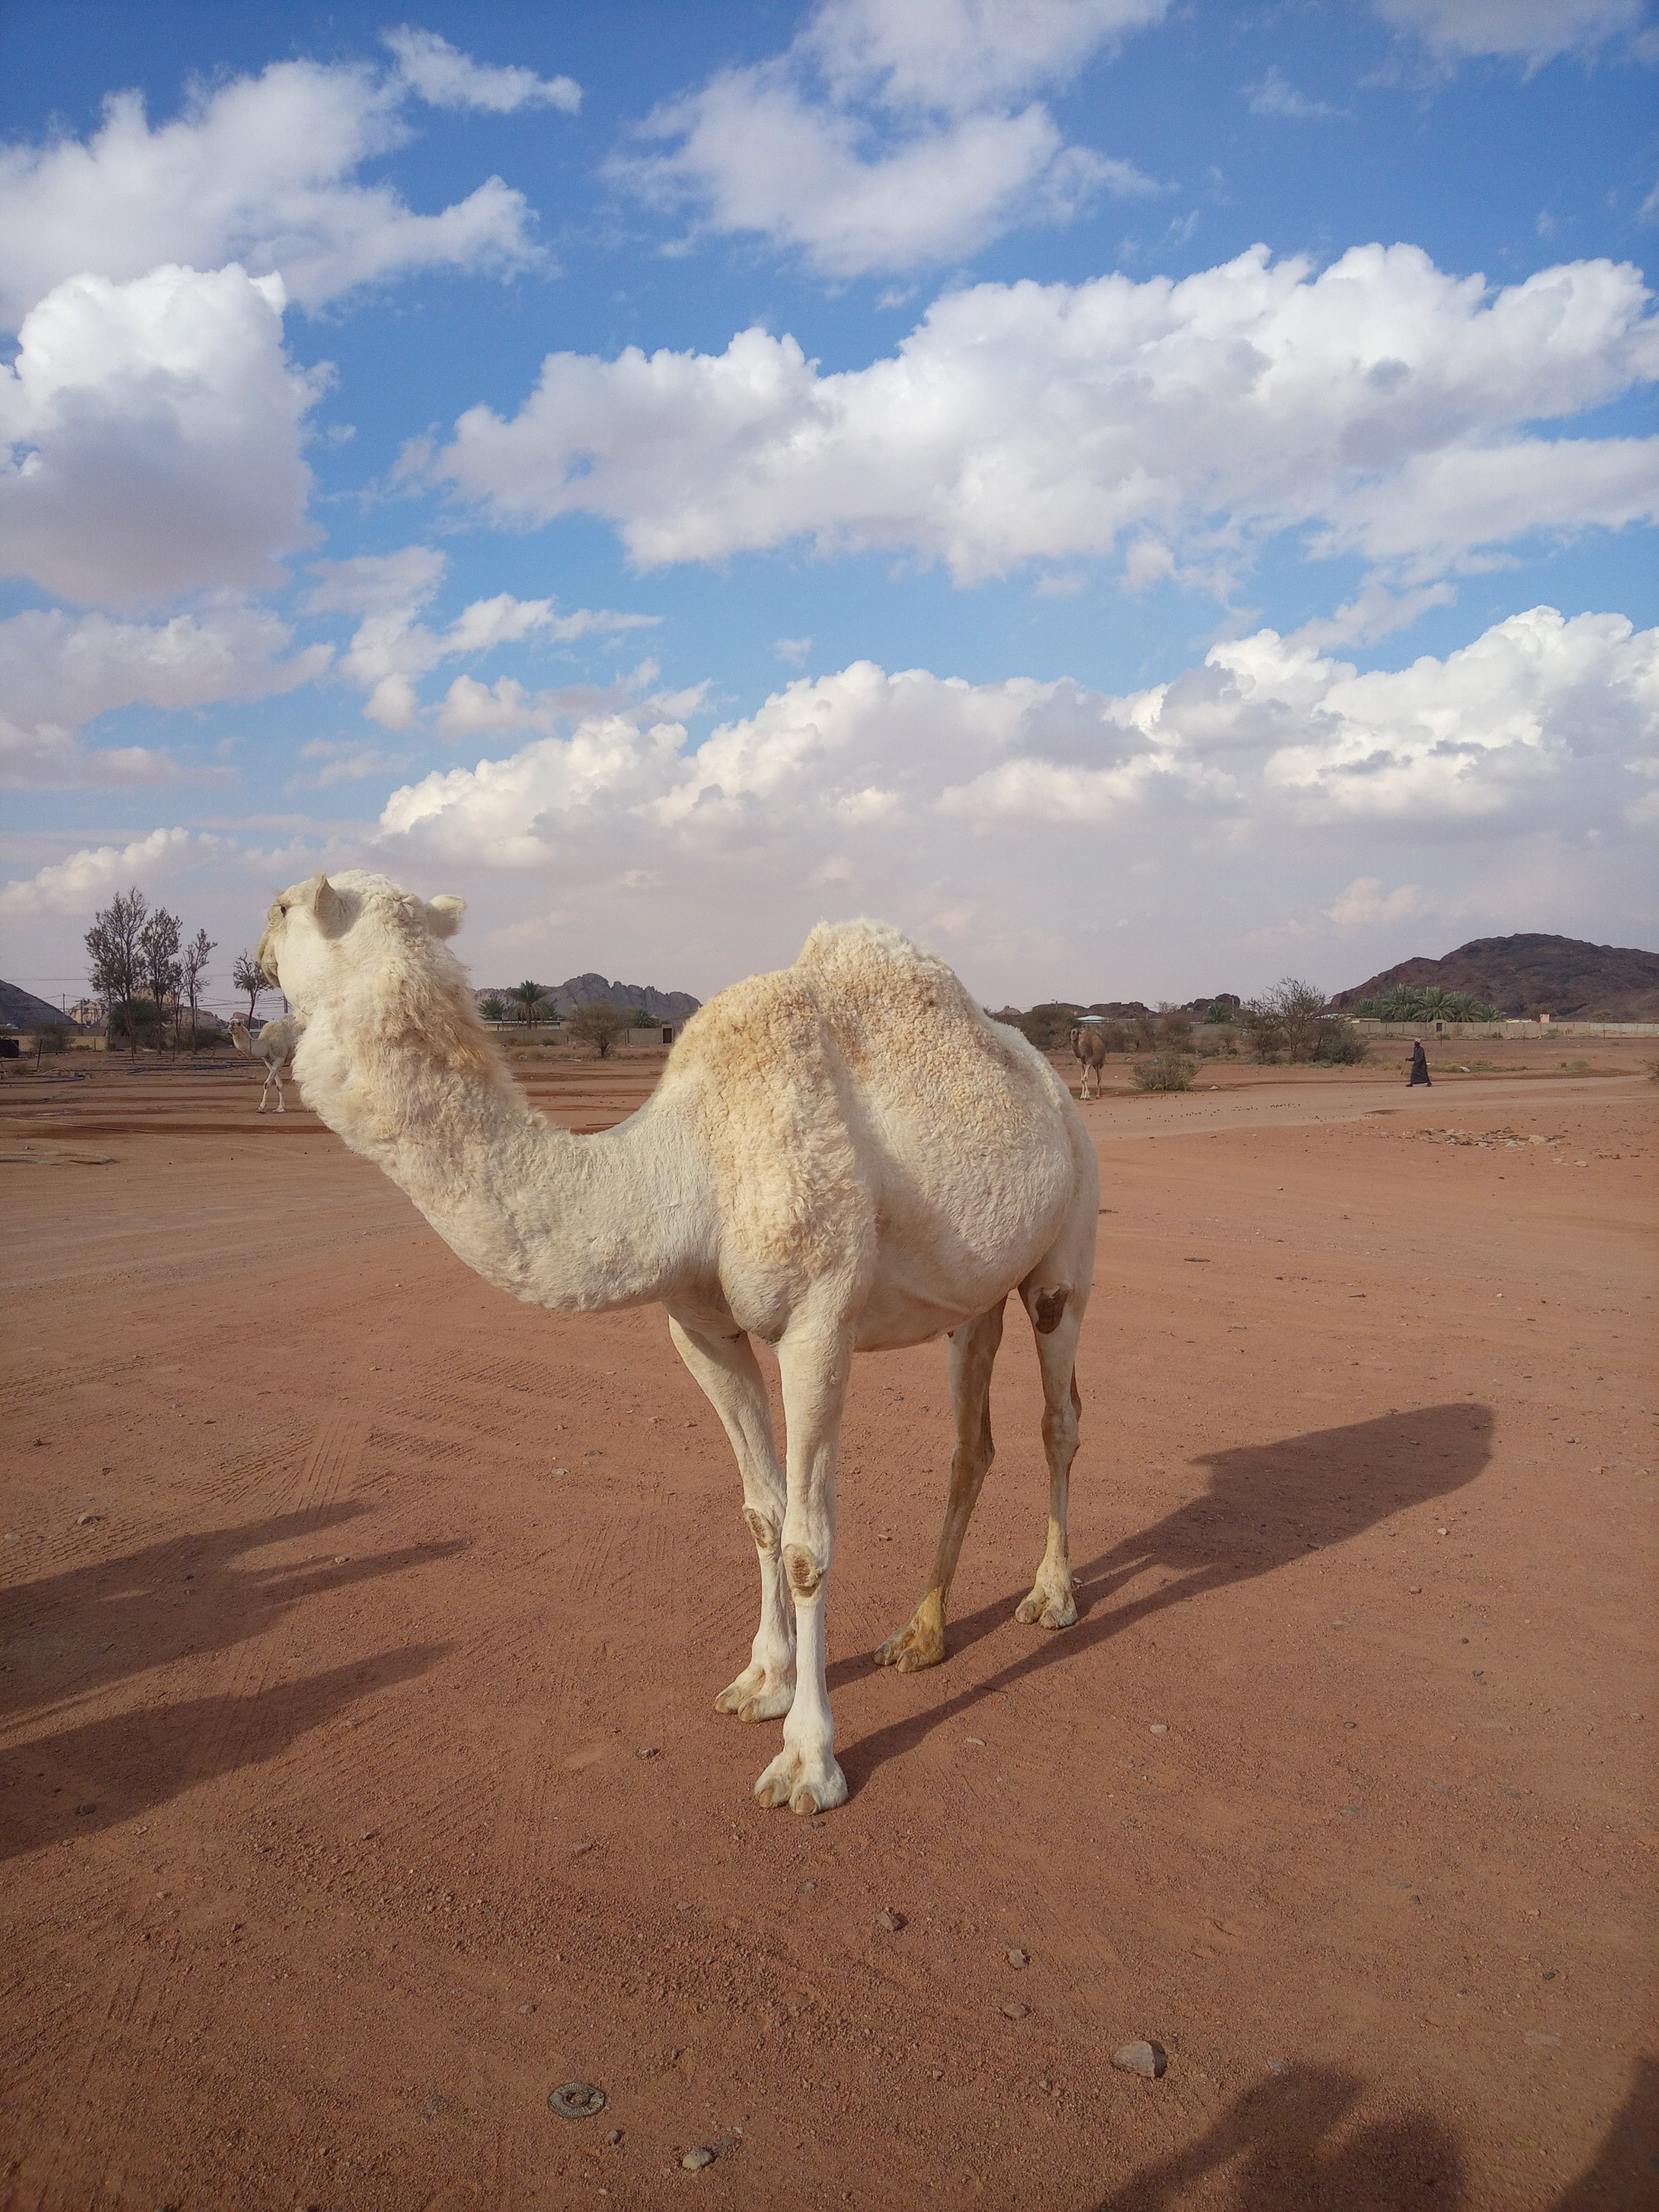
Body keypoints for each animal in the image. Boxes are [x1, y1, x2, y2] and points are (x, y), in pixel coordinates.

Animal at [253, 867, 1097, 1814]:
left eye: (284, 908)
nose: (255, 957)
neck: (688, 1159)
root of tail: (1054, 1086)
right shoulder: (700, 1327)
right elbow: (762, 1511)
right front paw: (762, 1682)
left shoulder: (818, 1323)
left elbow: (807, 1543)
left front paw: (808, 1762)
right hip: (972, 1295)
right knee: (970, 1440)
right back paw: (918, 1635)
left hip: (1068, 1248)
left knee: (1058, 1417)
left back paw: (1051, 1595)